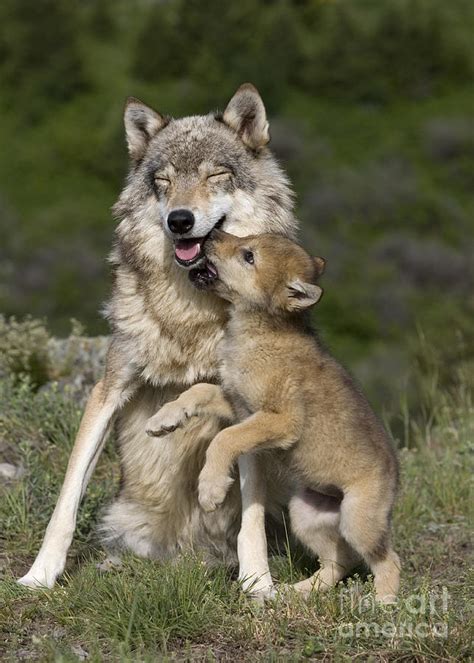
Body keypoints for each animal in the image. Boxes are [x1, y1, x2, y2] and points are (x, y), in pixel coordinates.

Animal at [19, 83, 296, 592]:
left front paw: (258, 585)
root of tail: (186, 556)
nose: (180, 221)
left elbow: (250, 516)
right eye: (163, 182)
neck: (189, 307)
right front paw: (40, 575)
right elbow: (67, 499)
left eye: (215, 176)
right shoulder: (108, 389)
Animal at [147, 231, 400, 604]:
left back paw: (382, 604)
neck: (259, 333)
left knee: (387, 560)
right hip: (306, 514)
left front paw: (210, 488)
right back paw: (296, 592)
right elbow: (198, 391)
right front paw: (163, 419)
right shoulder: (237, 403)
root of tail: (396, 480)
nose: (211, 234)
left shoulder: (279, 419)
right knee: (338, 562)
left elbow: (224, 439)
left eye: (248, 256)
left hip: (358, 521)